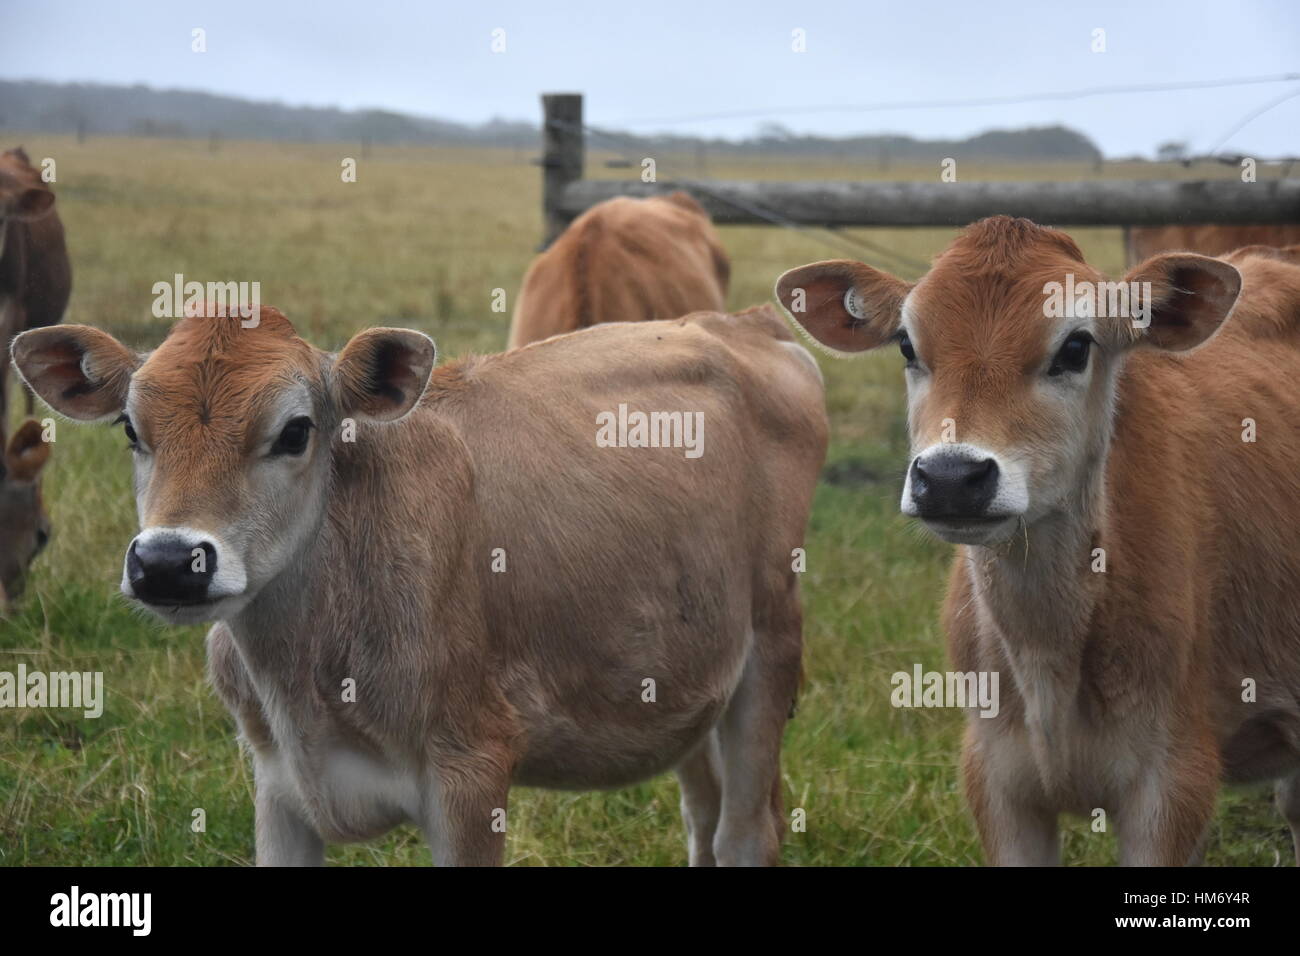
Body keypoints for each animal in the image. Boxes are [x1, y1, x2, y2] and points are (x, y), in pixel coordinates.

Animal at [12, 300, 821, 868]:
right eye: (131, 430)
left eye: (296, 431)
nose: (169, 562)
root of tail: (736, 321)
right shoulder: (276, 787)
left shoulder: (472, 772)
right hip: (688, 682)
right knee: (705, 824)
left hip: (771, 646)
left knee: (745, 835)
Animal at [774, 217, 1294, 868]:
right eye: (907, 346)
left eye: (1075, 347)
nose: (951, 477)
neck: (1048, 653)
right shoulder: (996, 780)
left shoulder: (1174, 783)